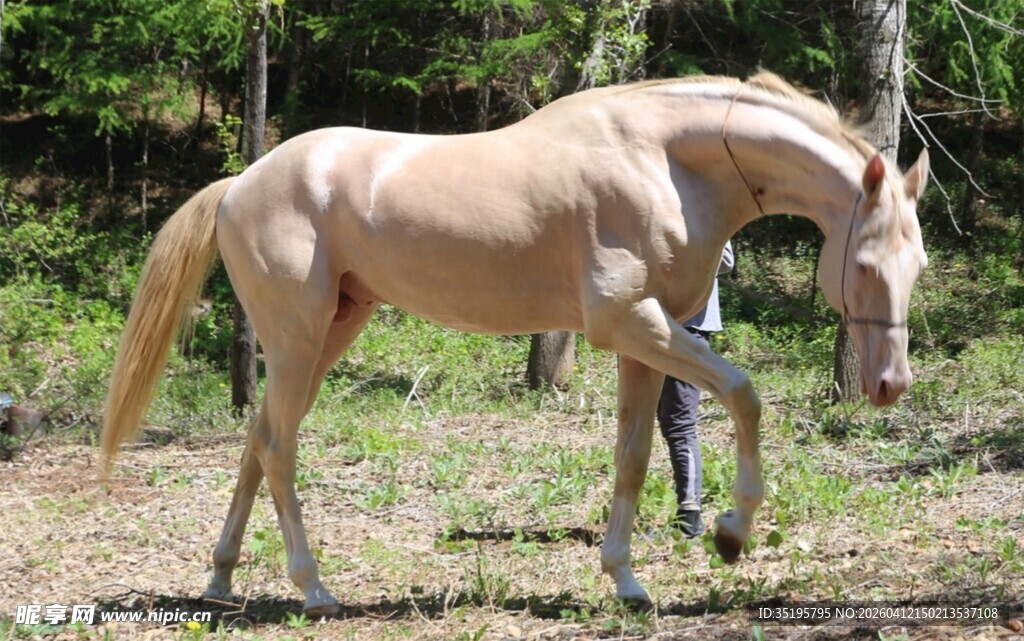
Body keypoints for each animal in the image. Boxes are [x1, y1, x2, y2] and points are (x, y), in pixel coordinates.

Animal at [101, 72, 929, 616]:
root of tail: (239, 185)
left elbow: (634, 455)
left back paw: (221, 578)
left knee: (258, 437)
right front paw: (731, 532)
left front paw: (627, 581)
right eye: (864, 263)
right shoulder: (633, 322)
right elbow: (744, 393)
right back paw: (314, 588)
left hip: (329, 330)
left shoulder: (645, 338)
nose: (890, 384)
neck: (666, 159)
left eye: (917, 262)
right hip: (300, 337)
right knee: (278, 448)